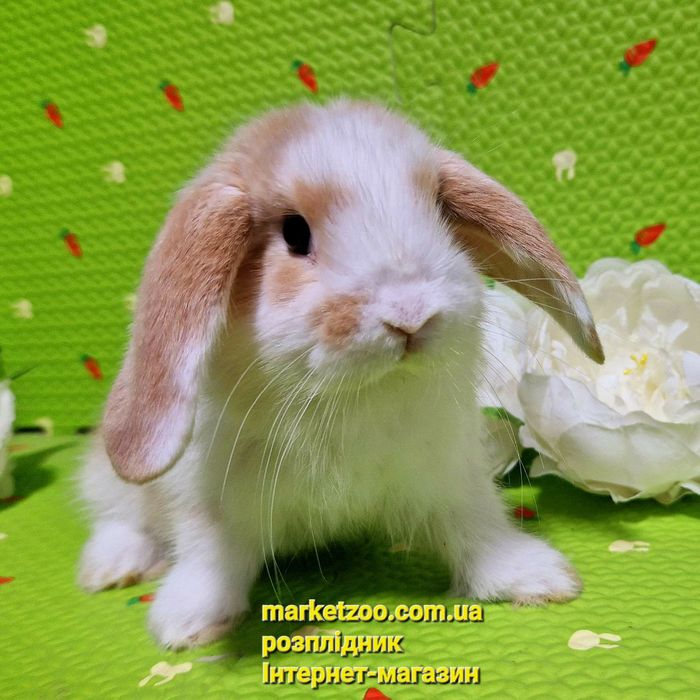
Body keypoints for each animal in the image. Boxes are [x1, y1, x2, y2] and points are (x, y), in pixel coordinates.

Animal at [77, 99, 604, 650]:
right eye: (294, 232)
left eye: (439, 211)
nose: (411, 314)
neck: (350, 396)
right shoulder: (210, 498)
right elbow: (209, 553)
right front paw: (186, 623)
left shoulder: (448, 474)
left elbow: (476, 526)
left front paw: (536, 578)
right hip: (116, 477)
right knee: (115, 514)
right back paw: (112, 568)